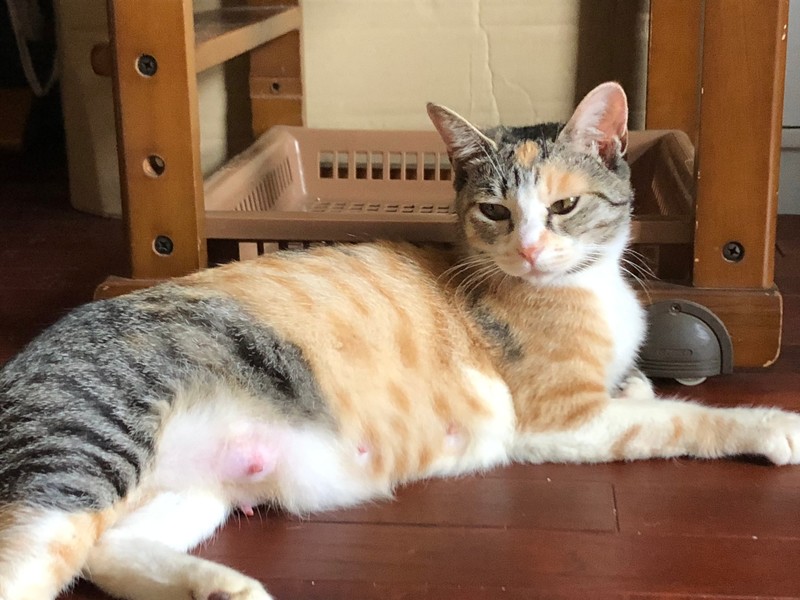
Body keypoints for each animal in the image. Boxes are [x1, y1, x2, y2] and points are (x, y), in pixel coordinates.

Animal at [1, 81, 799, 600]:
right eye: (494, 212)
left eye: (565, 206)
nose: (531, 251)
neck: (591, 287)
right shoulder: (560, 422)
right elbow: (675, 417)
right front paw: (772, 425)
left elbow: (641, 387)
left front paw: (636, 375)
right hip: (85, 447)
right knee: (39, 558)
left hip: (198, 490)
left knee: (106, 550)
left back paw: (221, 587)